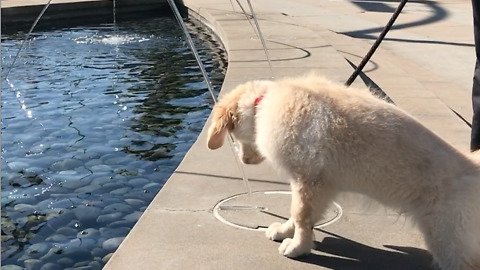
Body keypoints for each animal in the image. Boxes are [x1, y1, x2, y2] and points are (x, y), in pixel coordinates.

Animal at [205, 74, 480, 270]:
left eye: (233, 137)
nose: (244, 160)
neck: (263, 104)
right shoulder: (318, 184)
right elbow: (297, 215)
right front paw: (285, 231)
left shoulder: (309, 180)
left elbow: (301, 216)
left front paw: (298, 247)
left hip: (448, 237)